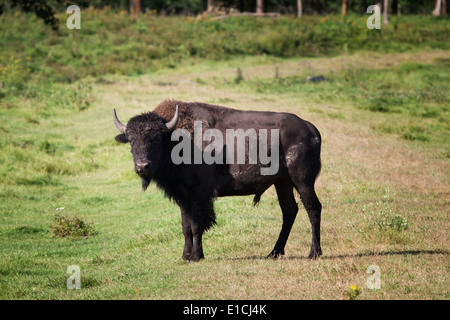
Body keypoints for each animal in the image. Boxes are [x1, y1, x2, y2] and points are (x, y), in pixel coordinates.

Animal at [114, 100, 322, 262]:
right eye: (131, 140)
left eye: (156, 138)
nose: (142, 166)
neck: (176, 139)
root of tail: (310, 128)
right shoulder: (183, 197)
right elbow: (185, 227)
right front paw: (185, 256)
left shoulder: (200, 194)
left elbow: (197, 226)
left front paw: (196, 256)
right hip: (282, 182)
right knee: (289, 211)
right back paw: (274, 253)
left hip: (302, 181)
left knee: (313, 207)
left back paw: (313, 253)